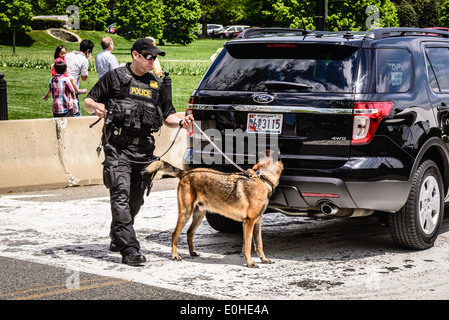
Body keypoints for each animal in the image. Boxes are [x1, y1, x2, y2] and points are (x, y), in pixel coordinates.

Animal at [145, 150, 282, 268]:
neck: (262, 178)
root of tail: (184, 173)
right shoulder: (249, 222)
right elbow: (248, 246)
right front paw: (249, 263)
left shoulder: (256, 222)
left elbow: (259, 244)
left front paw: (263, 259)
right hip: (185, 213)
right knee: (175, 234)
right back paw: (174, 255)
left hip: (199, 215)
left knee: (190, 232)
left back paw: (192, 252)